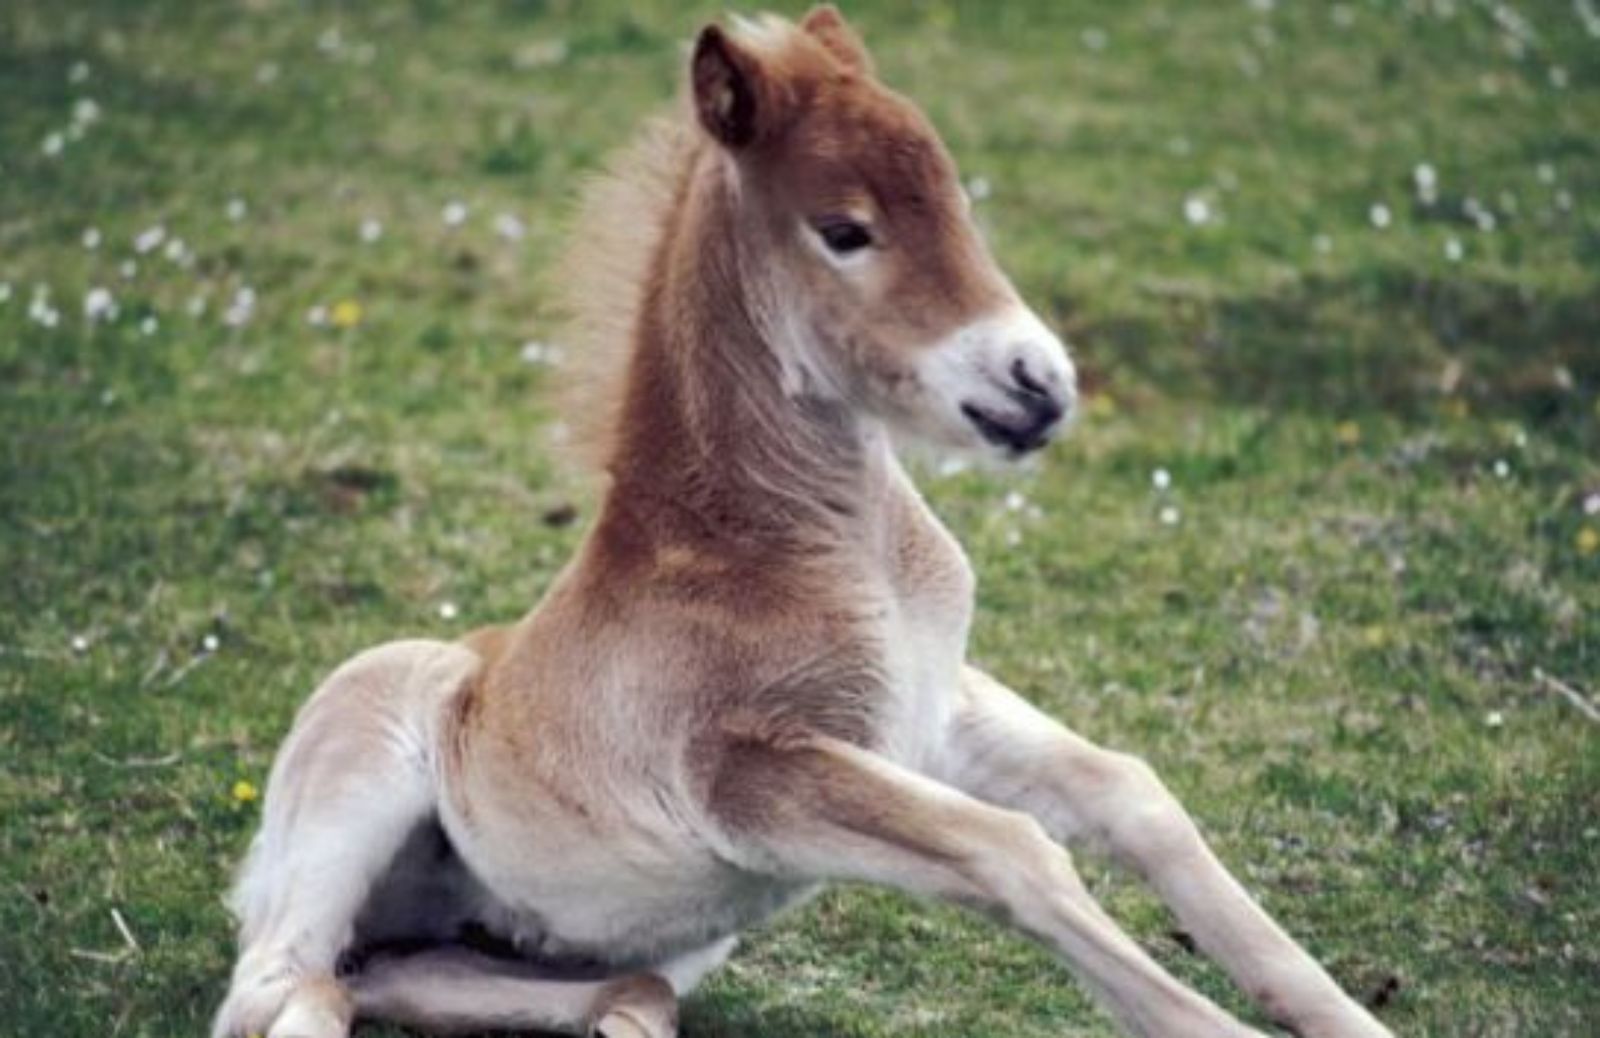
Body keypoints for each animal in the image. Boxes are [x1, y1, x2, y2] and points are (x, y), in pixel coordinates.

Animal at [216, 10, 1401, 1036]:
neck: (816, 544)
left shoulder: (931, 712)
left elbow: (1132, 793)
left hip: (547, 944)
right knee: (282, 985)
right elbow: (1013, 852)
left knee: (432, 978)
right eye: (845, 231)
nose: (1038, 384)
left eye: (961, 203)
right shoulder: (752, 772)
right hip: (362, 759)